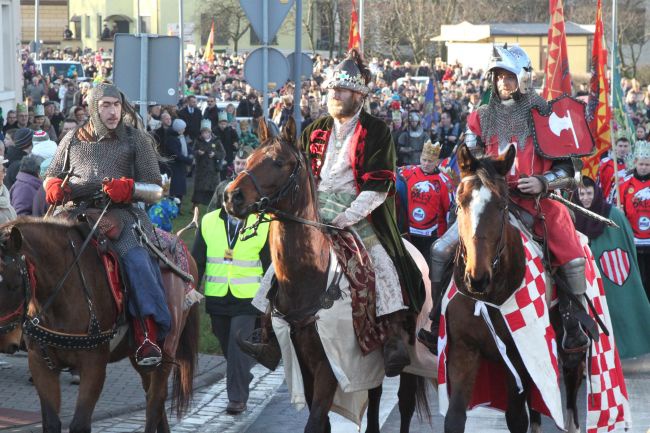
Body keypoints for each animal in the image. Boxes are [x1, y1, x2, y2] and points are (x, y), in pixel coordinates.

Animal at [0, 219, 200, 432]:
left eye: (13, 285)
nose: (4, 340)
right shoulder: (40, 363)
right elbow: (52, 422)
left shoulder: (93, 364)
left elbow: (80, 423)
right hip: (140, 357)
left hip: (167, 349)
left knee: (156, 399)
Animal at [223, 117, 430, 432]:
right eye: (248, 159)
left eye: (279, 162)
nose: (232, 196)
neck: (310, 278)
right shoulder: (302, 363)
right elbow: (322, 423)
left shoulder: (330, 365)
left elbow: (316, 420)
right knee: (375, 398)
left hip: (411, 357)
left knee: (405, 404)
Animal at [442, 145, 584, 432]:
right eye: (460, 203)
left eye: (502, 205)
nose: (477, 278)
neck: (488, 296)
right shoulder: (463, 349)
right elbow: (454, 417)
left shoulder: (521, 353)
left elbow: (516, 417)